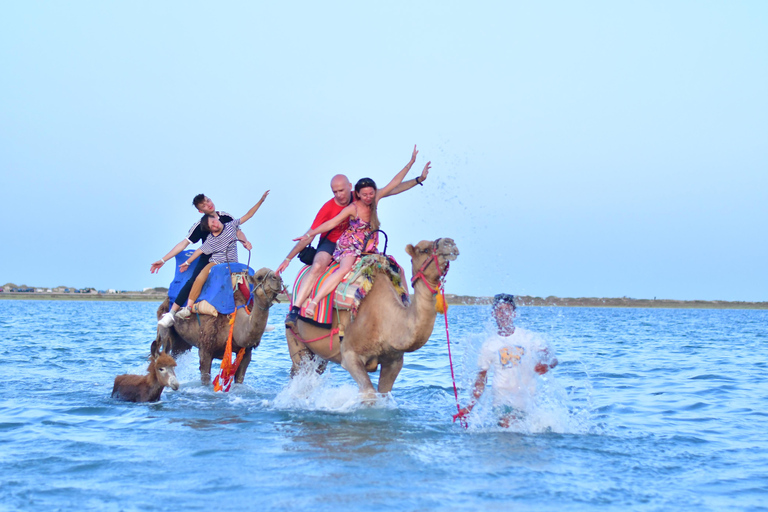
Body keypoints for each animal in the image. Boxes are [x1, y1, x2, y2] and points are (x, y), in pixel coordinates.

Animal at [284, 237, 460, 400]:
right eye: (424, 250)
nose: (450, 243)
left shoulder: (394, 361)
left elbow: (384, 394)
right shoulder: (349, 354)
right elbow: (369, 393)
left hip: (319, 354)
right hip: (295, 339)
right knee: (298, 372)